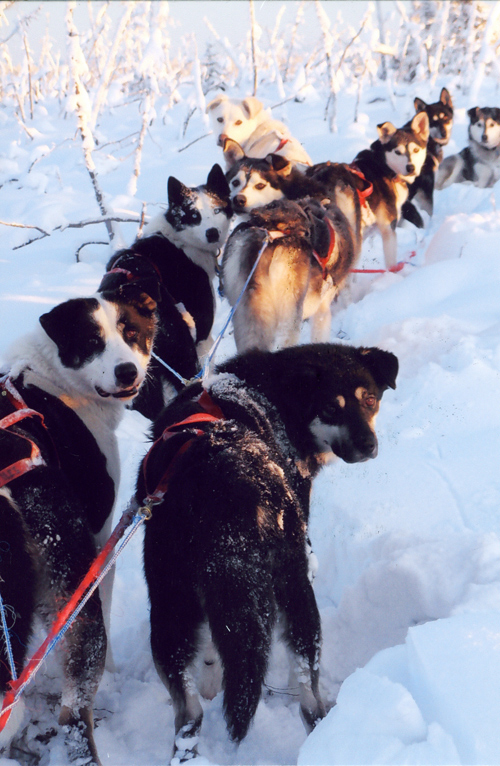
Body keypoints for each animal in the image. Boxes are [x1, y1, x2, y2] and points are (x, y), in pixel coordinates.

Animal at [0, 290, 156, 766]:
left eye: (131, 332)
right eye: (92, 341)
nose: (127, 371)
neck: (53, 378)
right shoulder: (101, 539)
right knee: (71, 712)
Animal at [137, 344, 398, 764]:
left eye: (369, 399)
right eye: (330, 407)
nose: (367, 447)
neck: (275, 393)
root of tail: (222, 471)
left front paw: (212, 676)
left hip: (168, 607)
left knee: (188, 714)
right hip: (294, 589)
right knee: (309, 696)